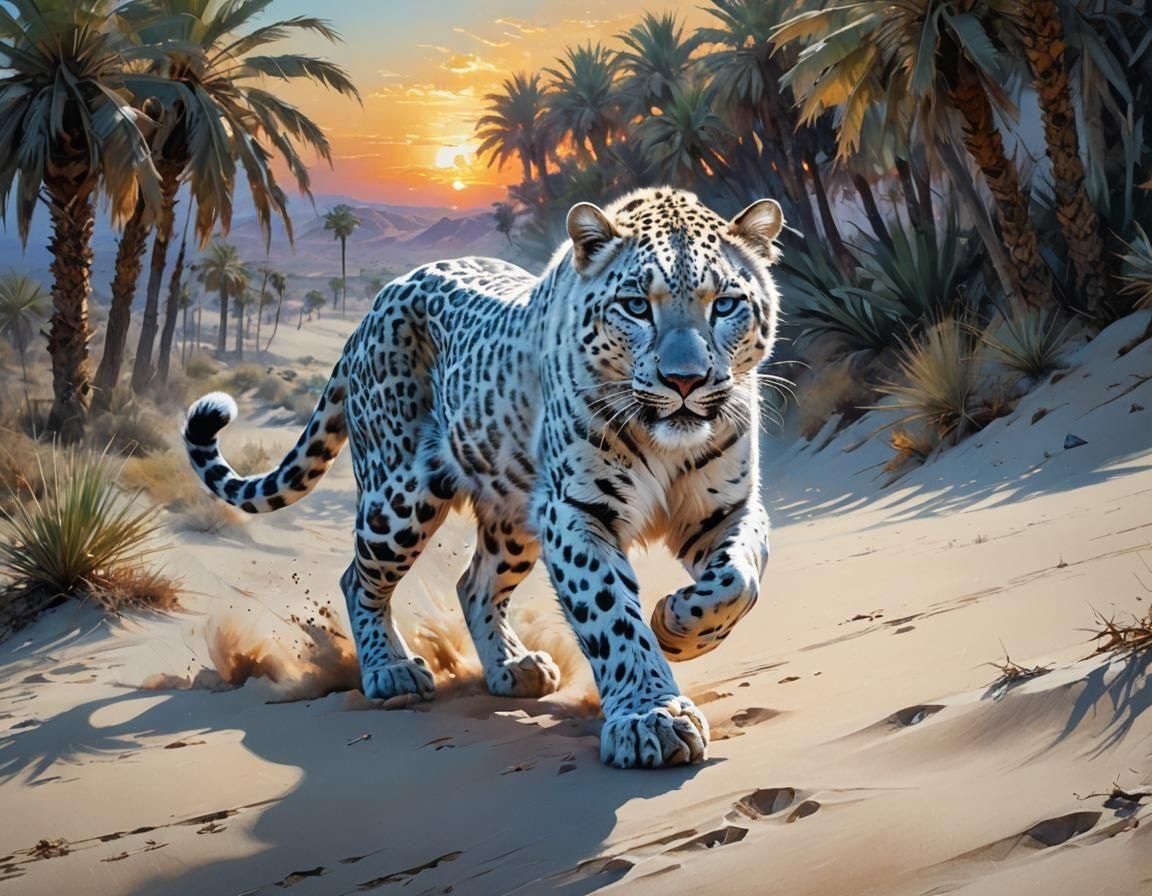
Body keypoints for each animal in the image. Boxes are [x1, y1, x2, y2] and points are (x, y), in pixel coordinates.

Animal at [183, 187, 783, 768]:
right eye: (637, 306)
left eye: (725, 304)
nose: (685, 380)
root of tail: (376, 305)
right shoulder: (576, 512)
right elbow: (610, 614)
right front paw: (650, 717)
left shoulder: (725, 508)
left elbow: (740, 579)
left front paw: (679, 627)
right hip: (399, 498)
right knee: (359, 578)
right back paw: (390, 671)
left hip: (512, 514)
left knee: (474, 584)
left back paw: (514, 667)